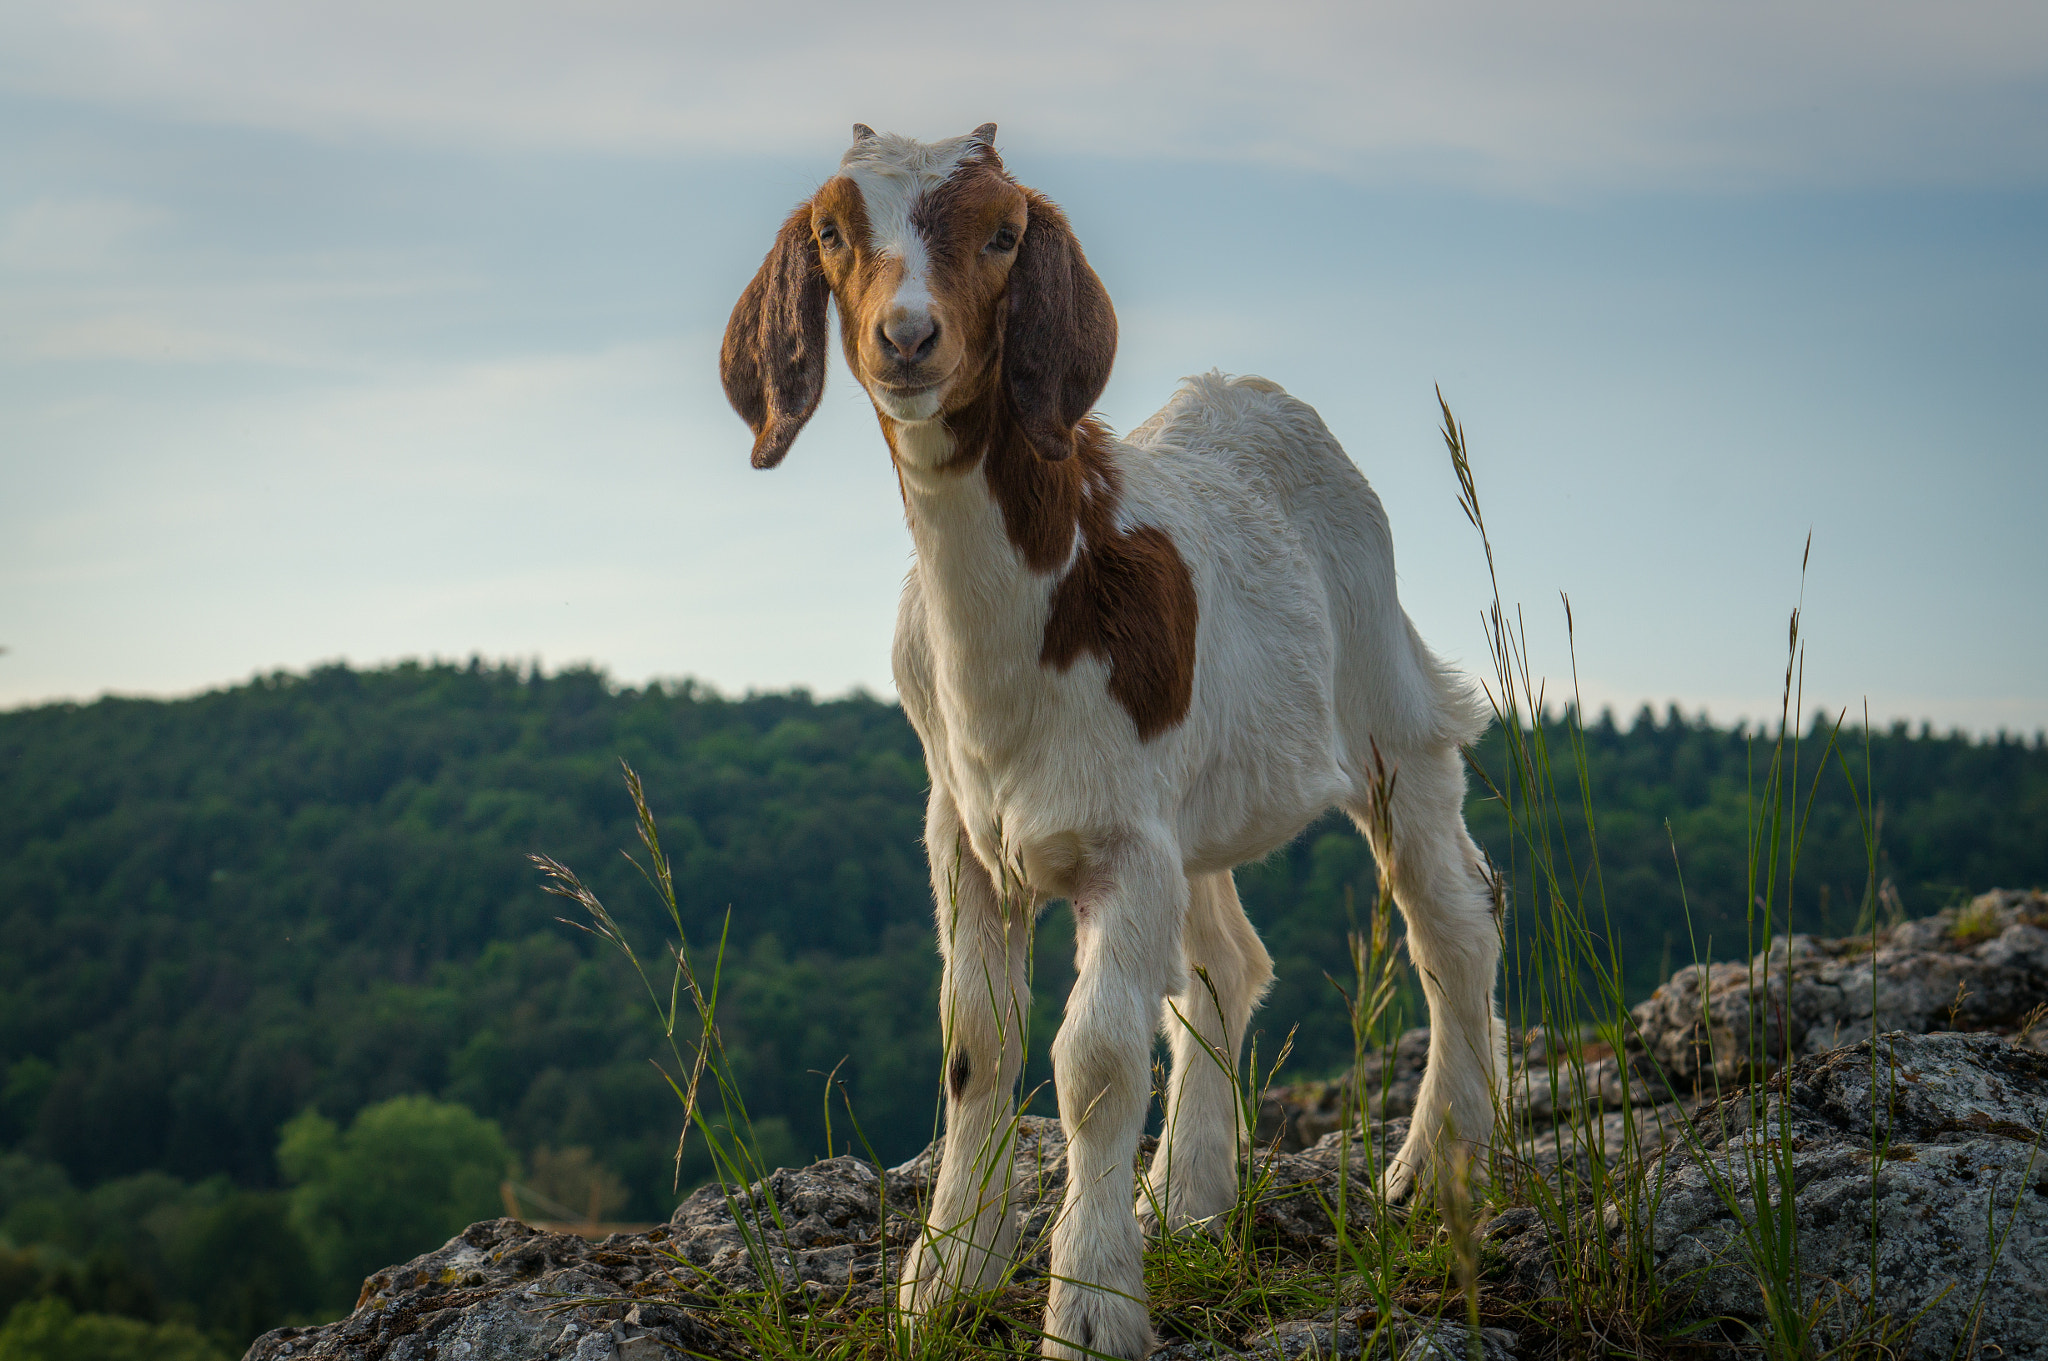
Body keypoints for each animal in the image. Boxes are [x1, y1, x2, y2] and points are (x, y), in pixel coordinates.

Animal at [720, 124, 1507, 1358]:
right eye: (834, 232)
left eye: (1004, 233)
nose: (908, 337)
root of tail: (1244, 390)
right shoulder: (966, 830)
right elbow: (975, 1041)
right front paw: (945, 1275)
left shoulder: (1123, 843)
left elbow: (1091, 1061)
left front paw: (1089, 1305)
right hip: (1199, 805)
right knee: (1229, 962)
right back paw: (1187, 1194)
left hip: (1391, 707)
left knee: (1451, 922)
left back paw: (1440, 1167)